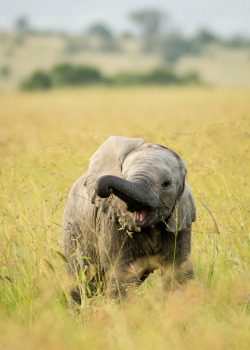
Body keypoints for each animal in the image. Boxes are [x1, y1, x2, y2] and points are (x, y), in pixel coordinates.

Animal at [62, 135, 195, 302]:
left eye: (166, 184)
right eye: (124, 176)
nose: (107, 189)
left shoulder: (180, 221)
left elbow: (179, 273)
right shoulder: (111, 222)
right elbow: (122, 273)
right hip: (73, 229)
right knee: (83, 279)